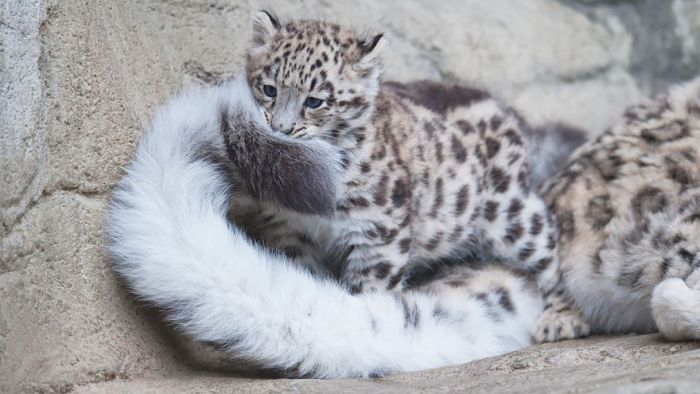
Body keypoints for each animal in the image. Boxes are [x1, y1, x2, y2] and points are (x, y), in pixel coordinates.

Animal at [227, 10, 588, 340]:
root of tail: (507, 111)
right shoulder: (289, 229)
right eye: (269, 89)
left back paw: (562, 318)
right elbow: (304, 277)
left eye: (315, 101)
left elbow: (371, 291)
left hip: (512, 217)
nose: (281, 128)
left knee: (549, 247)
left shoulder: (377, 233)